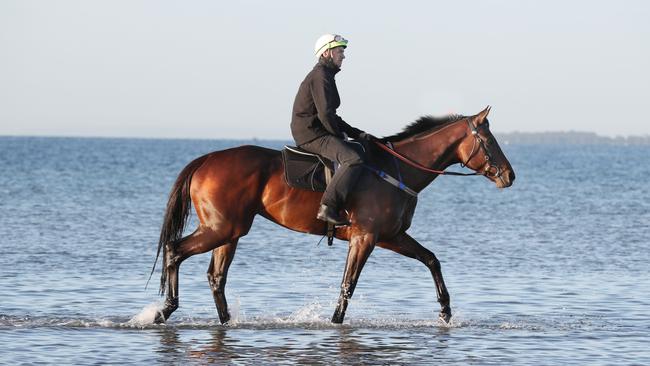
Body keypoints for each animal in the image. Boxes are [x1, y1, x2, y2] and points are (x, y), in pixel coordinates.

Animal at [151, 107, 512, 324]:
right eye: (489, 140)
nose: (510, 175)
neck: (397, 169)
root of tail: (207, 159)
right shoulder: (366, 238)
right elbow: (348, 283)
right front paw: (336, 321)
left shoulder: (391, 236)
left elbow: (432, 259)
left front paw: (446, 311)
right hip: (221, 228)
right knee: (175, 250)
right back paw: (165, 309)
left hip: (229, 232)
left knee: (215, 276)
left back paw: (224, 321)